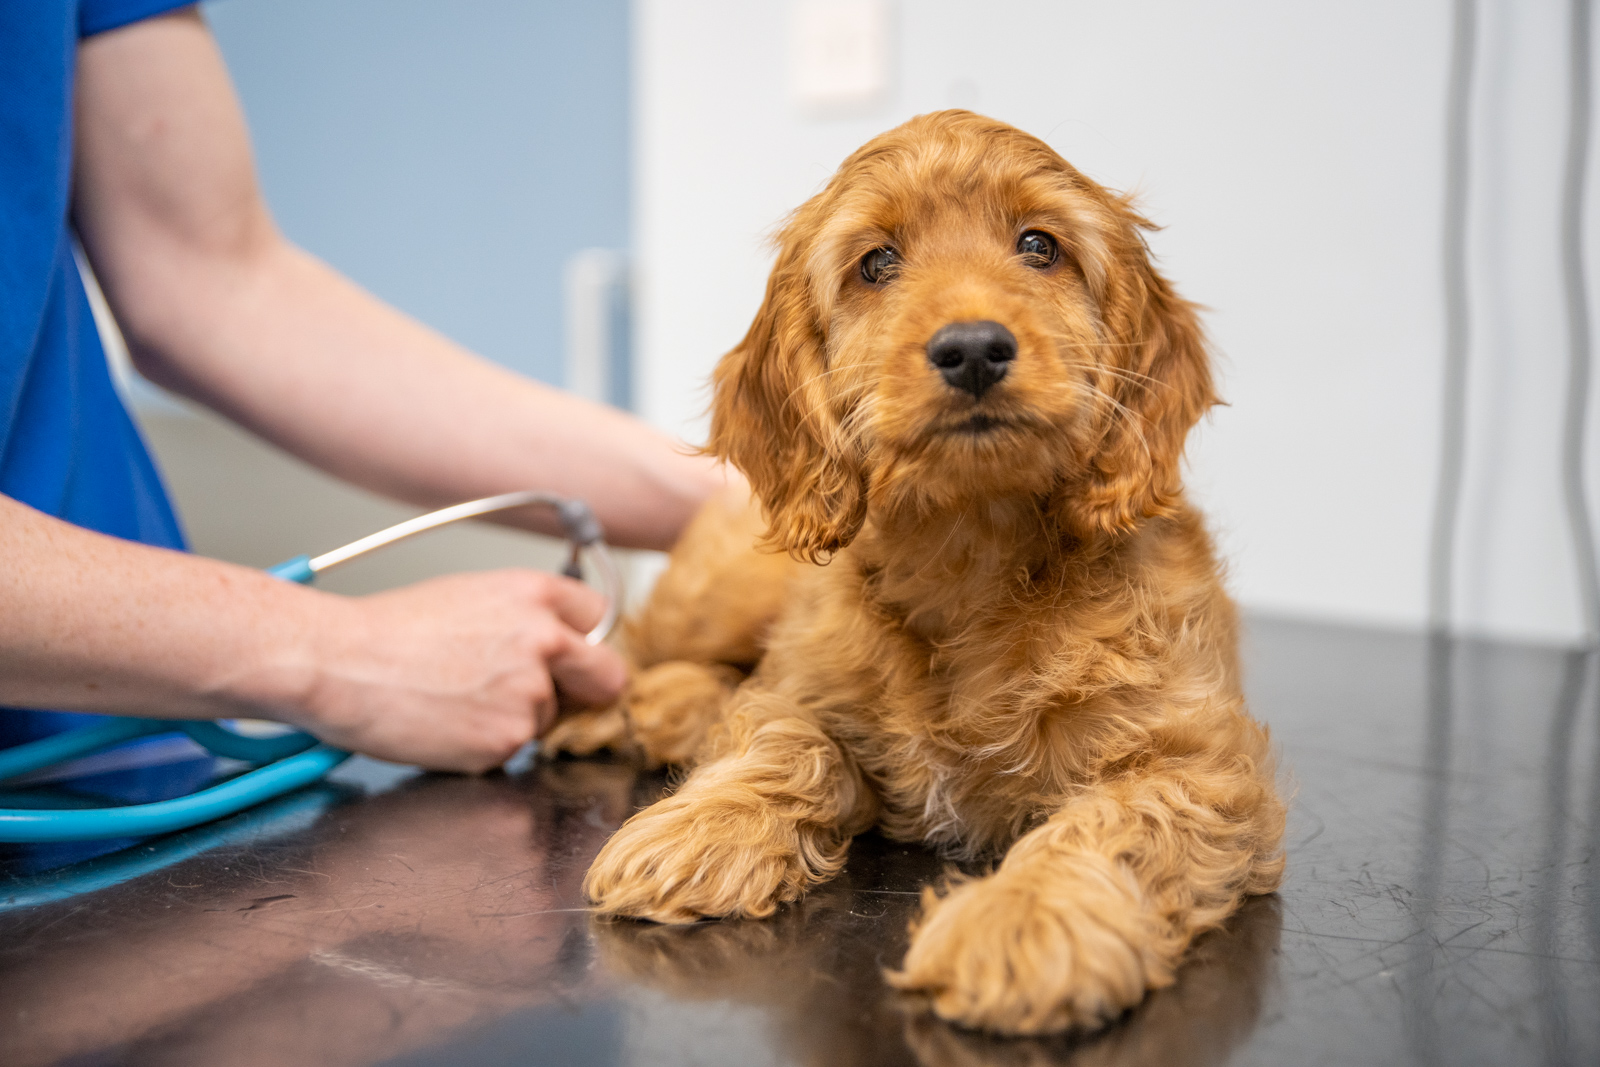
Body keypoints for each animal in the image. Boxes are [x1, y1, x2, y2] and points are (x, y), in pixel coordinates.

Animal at [556, 108, 1280, 1036]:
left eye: (1039, 246)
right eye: (877, 262)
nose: (972, 348)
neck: (969, 548)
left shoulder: (1200, 760)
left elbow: (1119, 818)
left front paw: (1022, 920)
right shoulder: (793, 684)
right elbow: (784, 739)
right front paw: (699, 830)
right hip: (716, 593)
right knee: (638, 641)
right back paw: (603, 706)